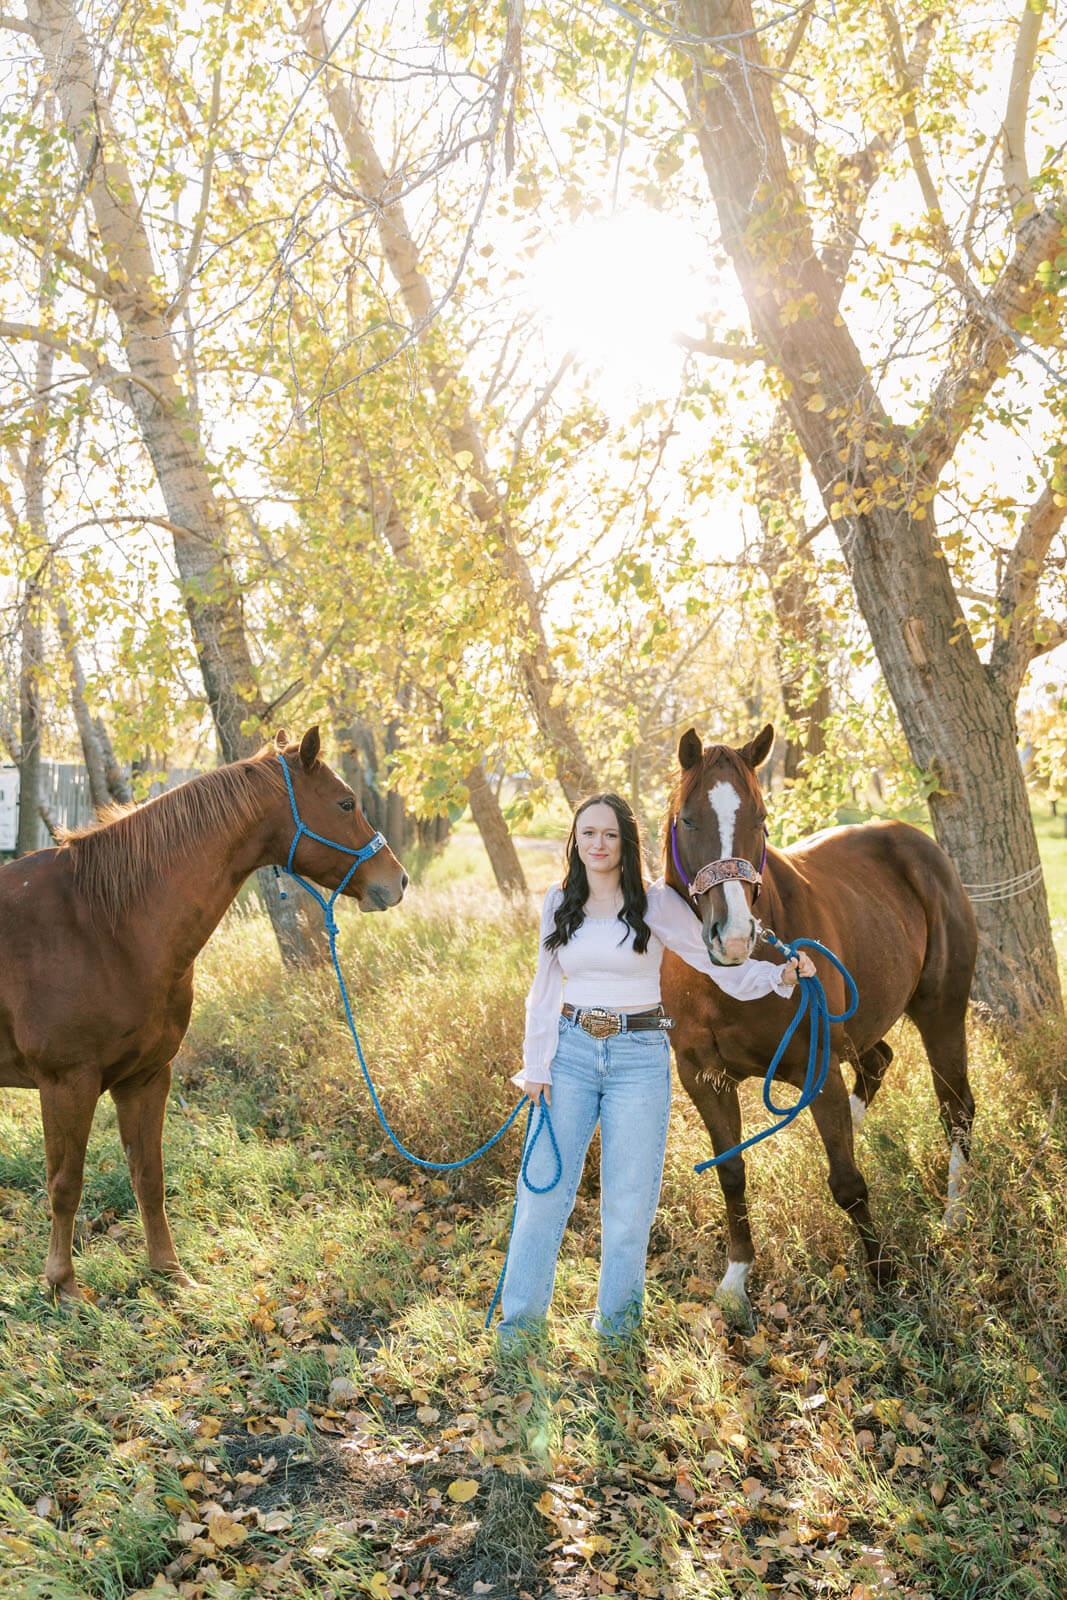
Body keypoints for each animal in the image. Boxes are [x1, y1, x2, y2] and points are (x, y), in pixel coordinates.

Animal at [0, 726, 407, 1300]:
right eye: (346, 802)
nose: (397, 880)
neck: (103, 924)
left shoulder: (146, 1078)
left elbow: (148, 1177)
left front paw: (169, 1272)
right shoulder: (66, 1084)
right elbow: (64, 1185)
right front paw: (63, 1287)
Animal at [660, 724, 977, 1303]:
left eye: (760, 818)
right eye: (688, 819)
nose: (733, 937)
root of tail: (919, 844)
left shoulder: (818, 1067)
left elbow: (848, 1184)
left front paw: (882, 1278)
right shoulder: (703, 1078)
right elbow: (731, 1172)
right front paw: (736, 1279)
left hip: (941, 1013)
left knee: (956, 1109)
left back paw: (954, 1215)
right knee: (877, 1061)